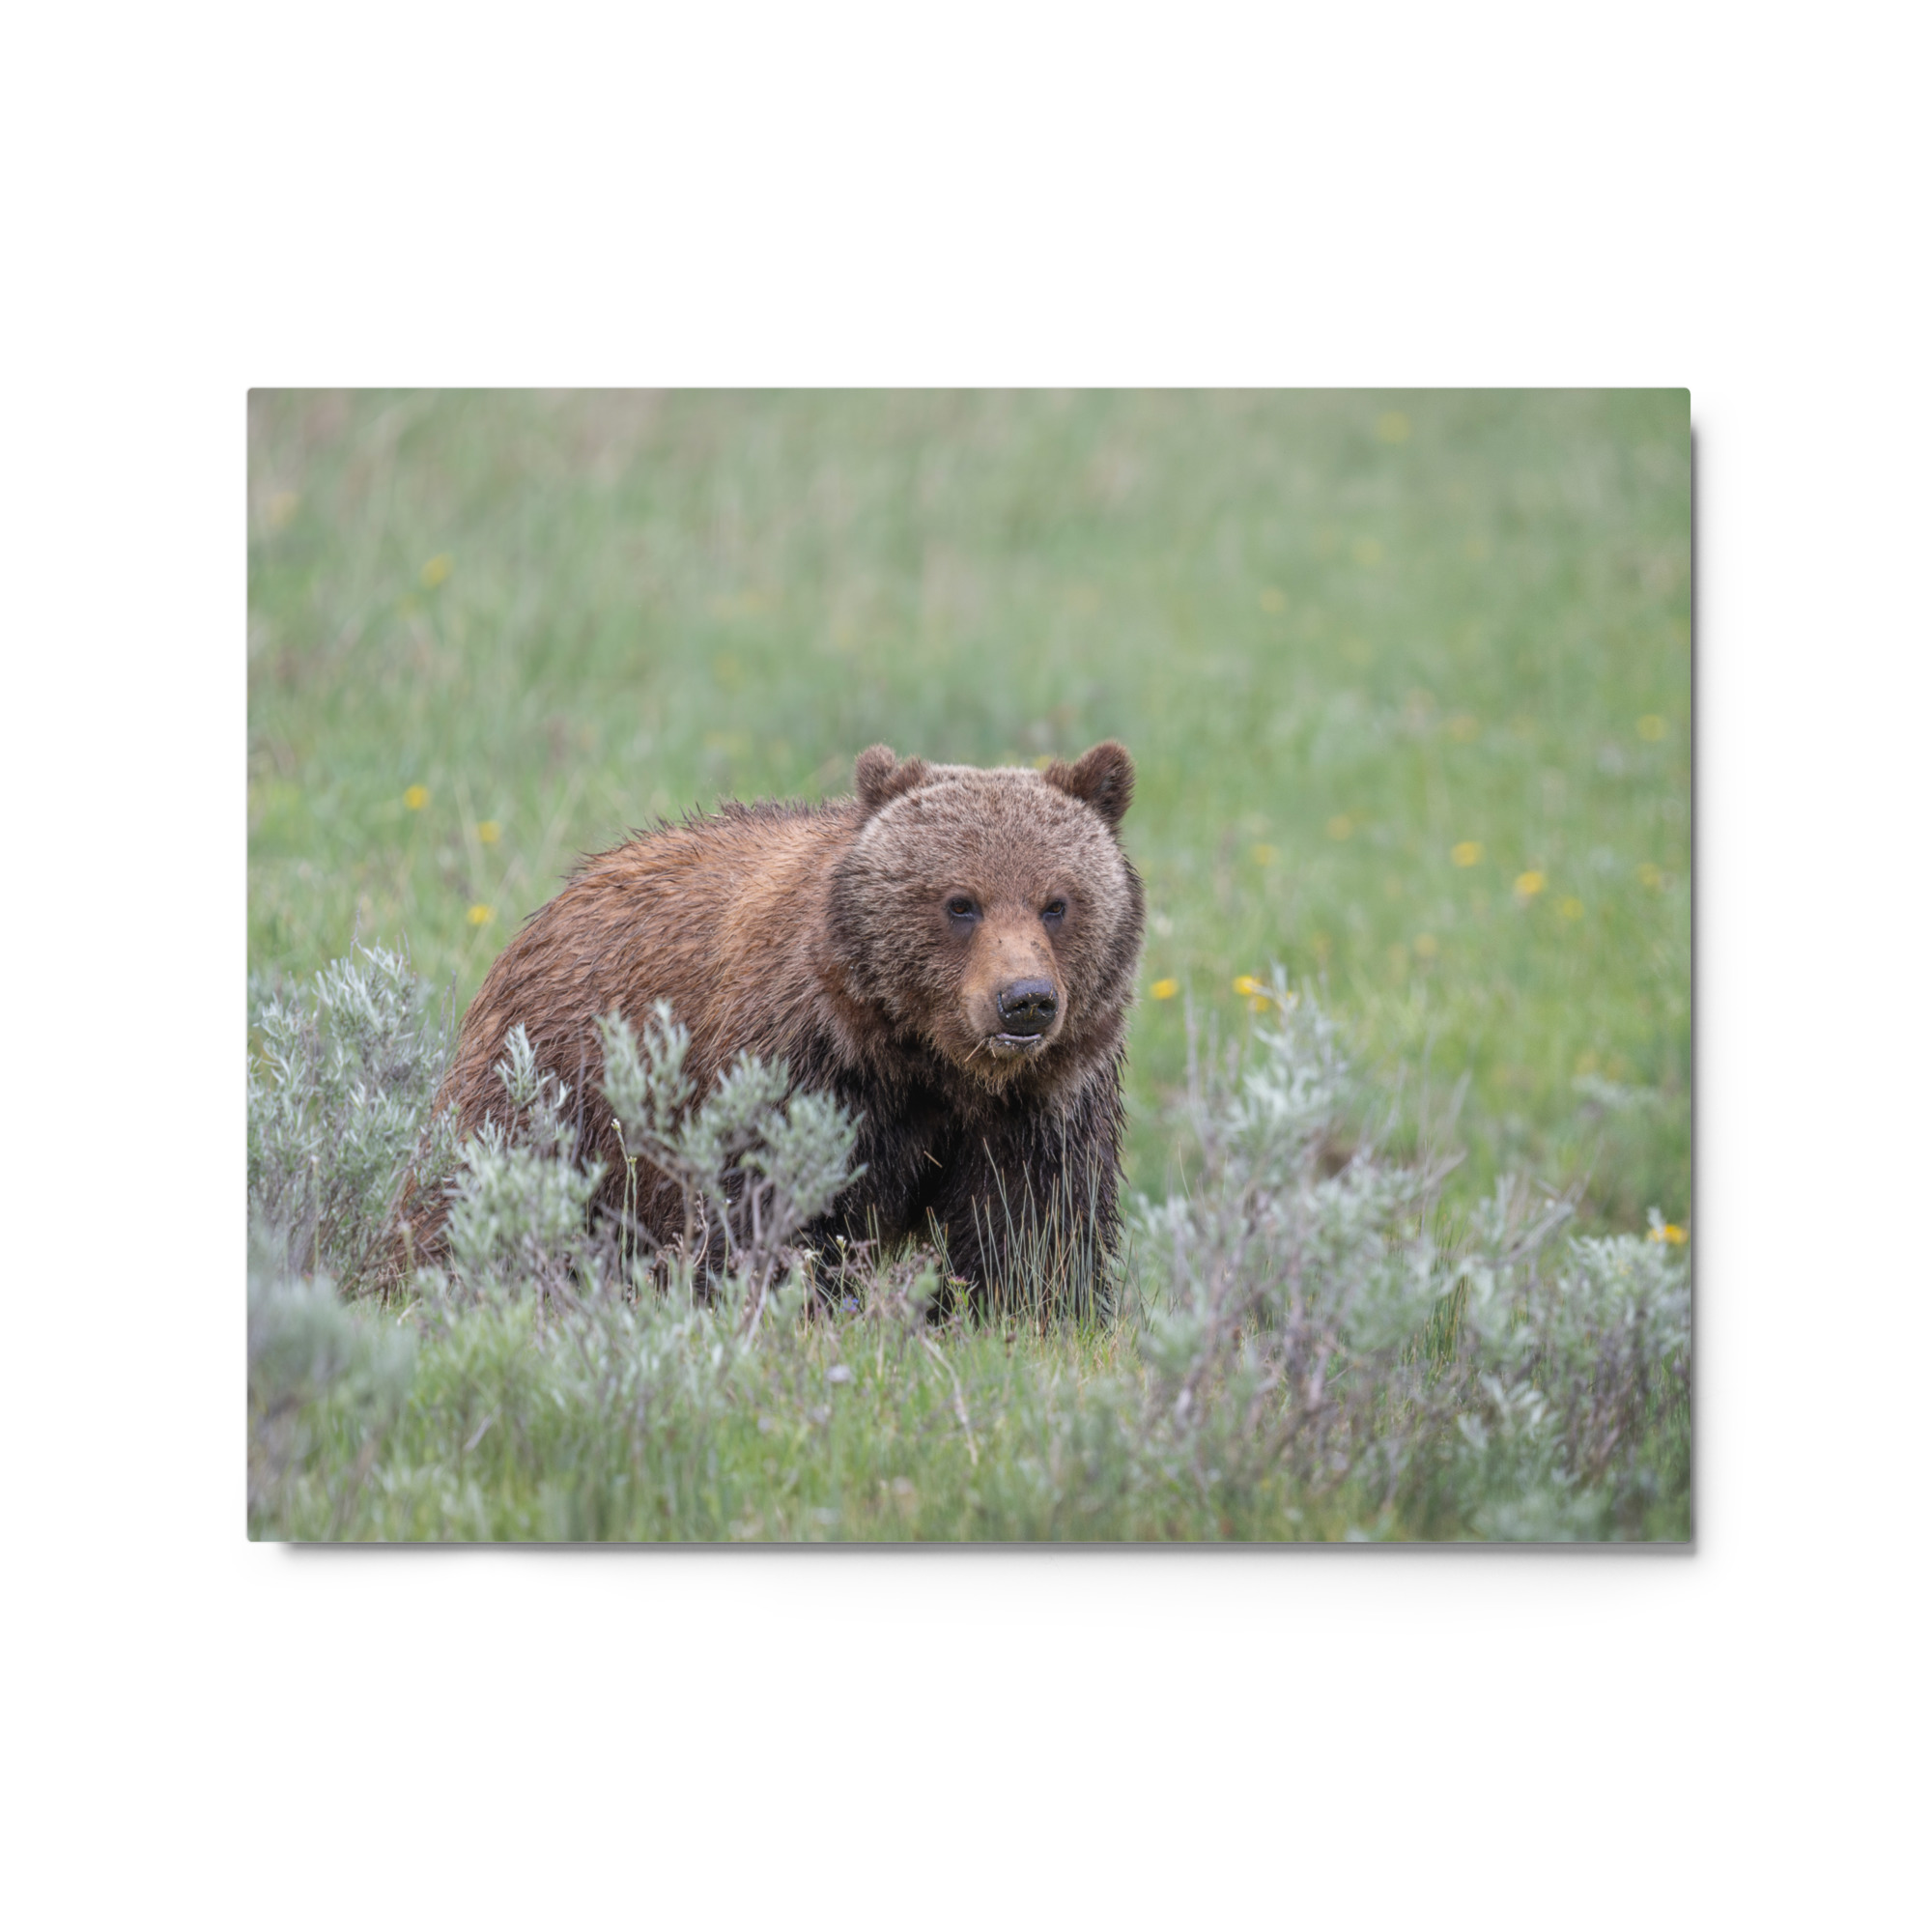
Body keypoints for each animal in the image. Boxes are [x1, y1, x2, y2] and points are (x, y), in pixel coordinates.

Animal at [395, 740, 1145, 1304]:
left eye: (1057, 902)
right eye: (961, 902)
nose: (1025, 1000)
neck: (928, 1061)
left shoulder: (1043, 1103)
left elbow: (1032, 1230)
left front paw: (1025, 1311)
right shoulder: (801, 1067)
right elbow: (765, 1212)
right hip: (552, 1084)